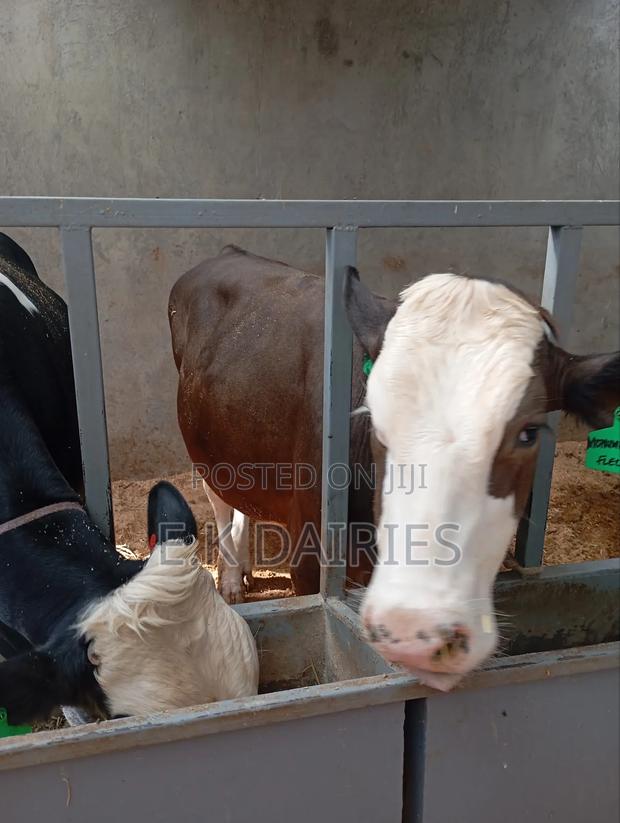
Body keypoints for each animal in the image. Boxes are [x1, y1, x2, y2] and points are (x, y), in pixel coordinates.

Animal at [169, 244, 619, 690]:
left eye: (529, 432)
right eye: (374, 414)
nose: (414, 627)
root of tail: (230, 252)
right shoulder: (309, 556)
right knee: (220, 502)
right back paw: (230, 579)